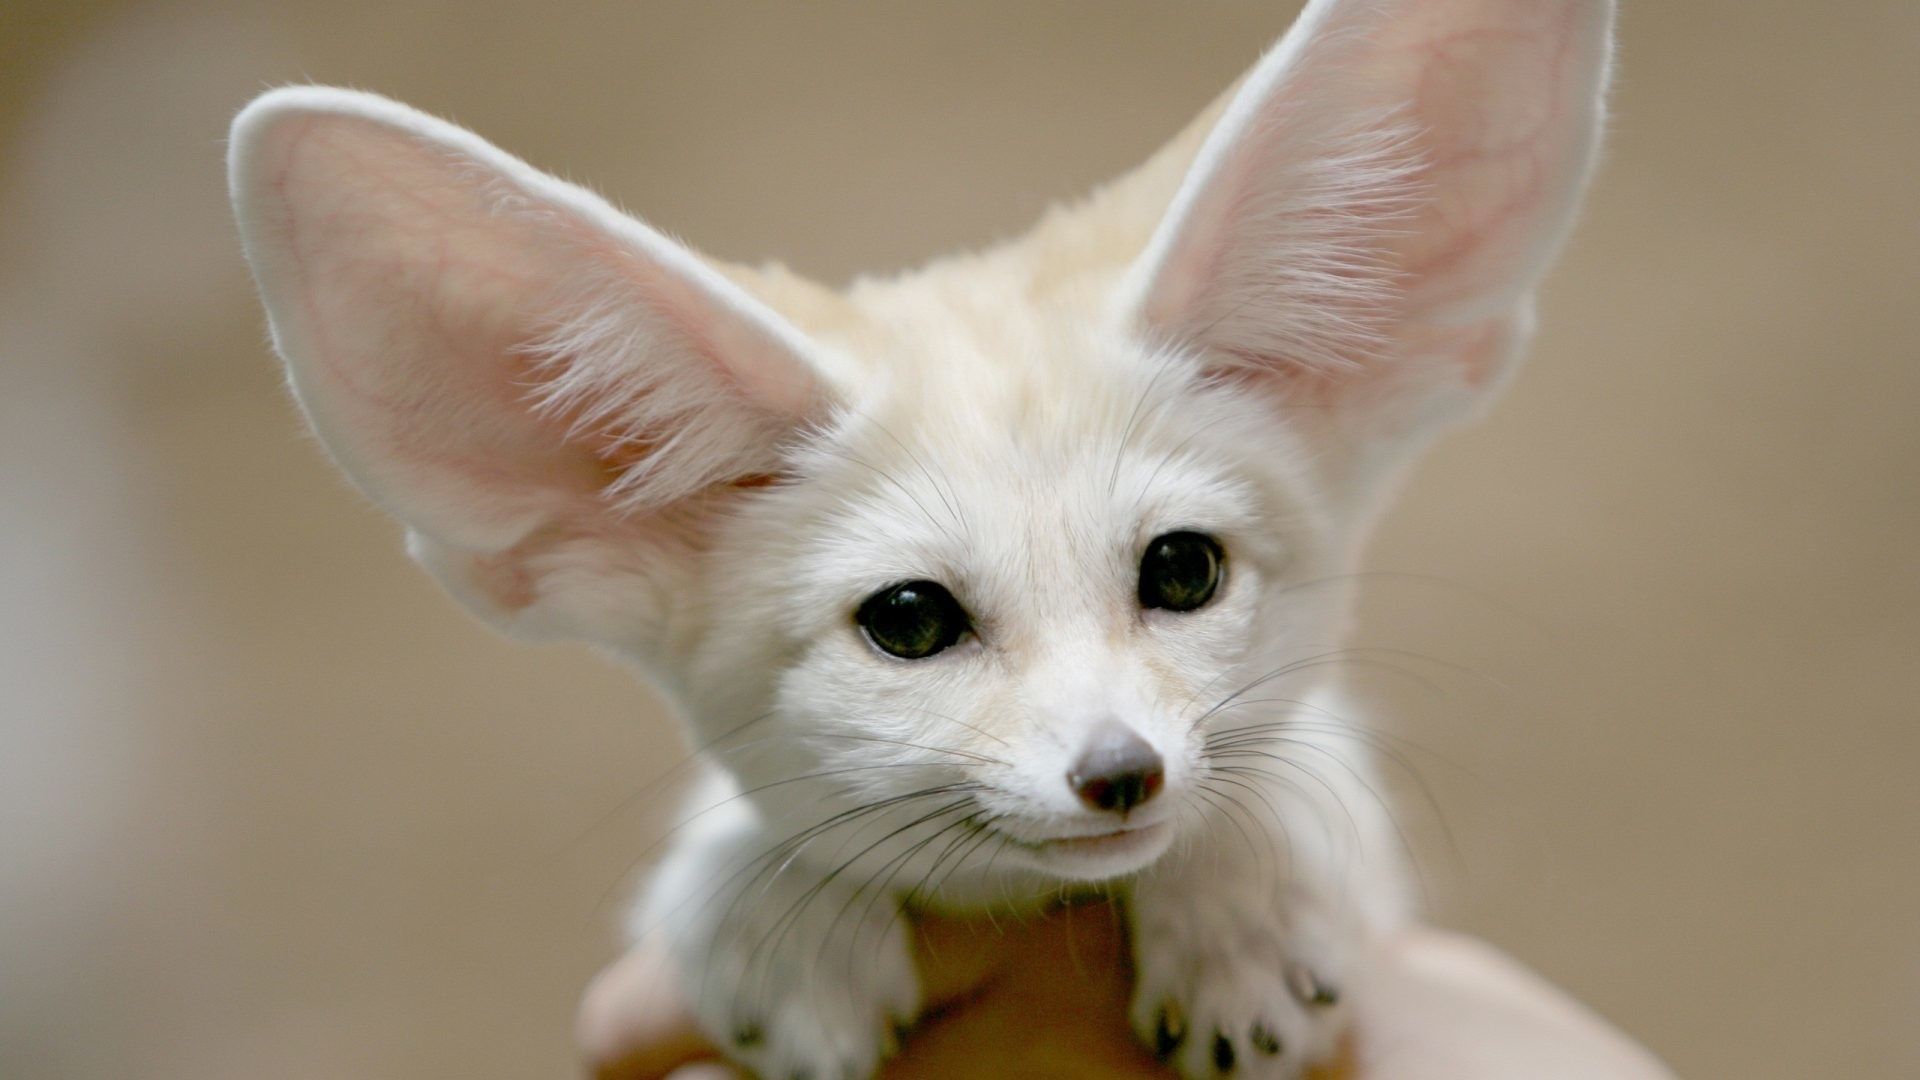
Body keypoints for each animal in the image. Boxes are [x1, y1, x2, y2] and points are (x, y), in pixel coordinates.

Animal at [227, 0, 1613, 1075]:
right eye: (909, 621)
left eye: (1182, 569)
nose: (1122, 774)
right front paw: (777, 909)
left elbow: (1290, 764)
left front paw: (1241, 909)